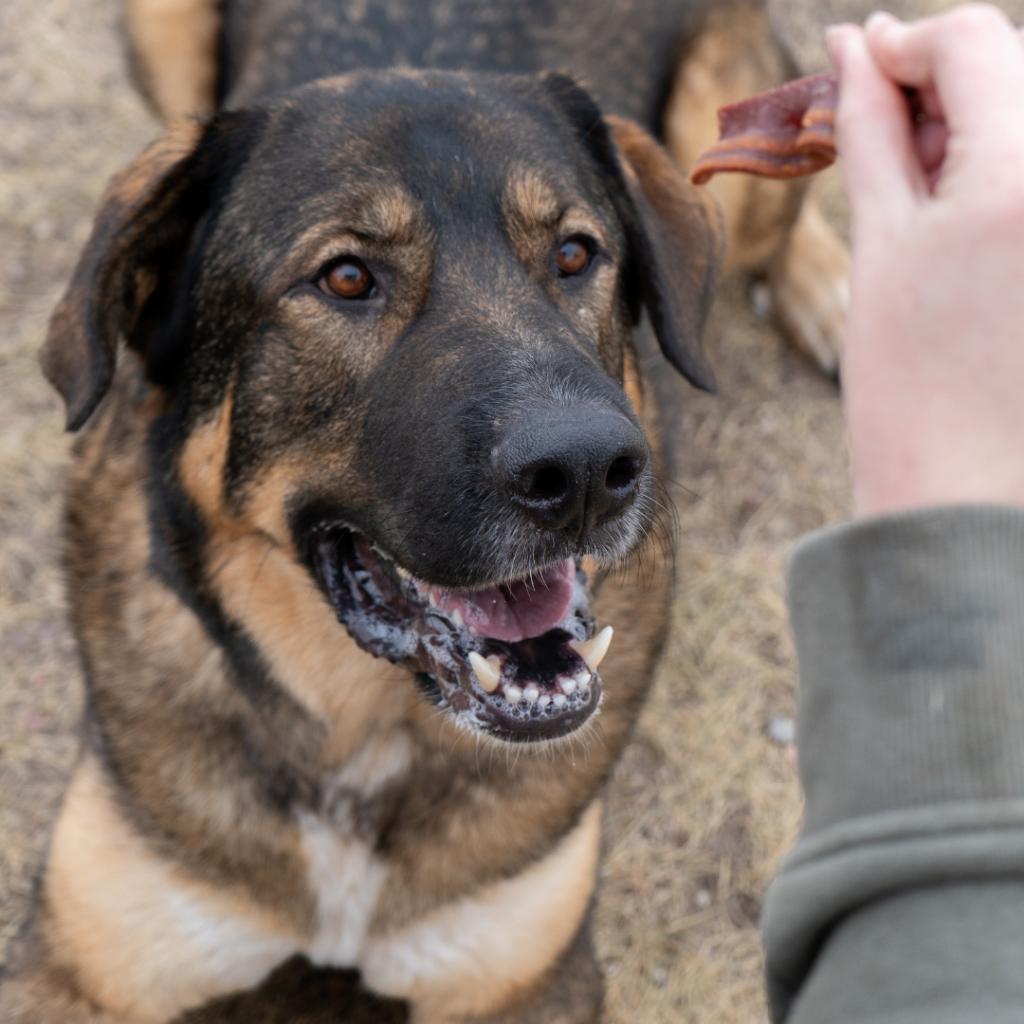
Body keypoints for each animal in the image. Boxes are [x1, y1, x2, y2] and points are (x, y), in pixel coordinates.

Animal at [0, 2, 851, 1024]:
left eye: (575, 255)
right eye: (346, 278)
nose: (587, 471)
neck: (357, 732)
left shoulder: (526, 979)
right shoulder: (76, 964)